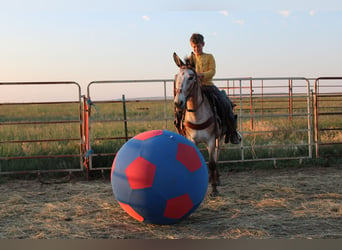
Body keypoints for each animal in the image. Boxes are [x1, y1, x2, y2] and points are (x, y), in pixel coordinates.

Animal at [172, 52, 226, 196]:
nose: (178, 102)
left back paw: (217, 179)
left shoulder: (211, 140)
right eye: (177, 77)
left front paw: (214, 189)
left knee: (217, 156)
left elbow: (212, 163)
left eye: (191, 77)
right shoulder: (193, 140)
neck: (197, 115)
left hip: (220, 138)